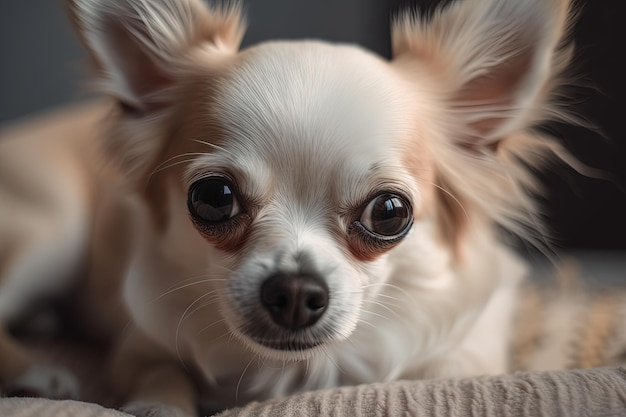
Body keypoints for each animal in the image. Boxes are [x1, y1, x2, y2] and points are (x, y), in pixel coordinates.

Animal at [0, 0, 576, 414]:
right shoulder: (136, 348)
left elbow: (446, 370)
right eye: (213, 198)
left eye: (389, 212)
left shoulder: (471, 353)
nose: (296, 291)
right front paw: (160, 404)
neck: (304, 372)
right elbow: (158, 374)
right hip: (54, 232)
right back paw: (37, 371)